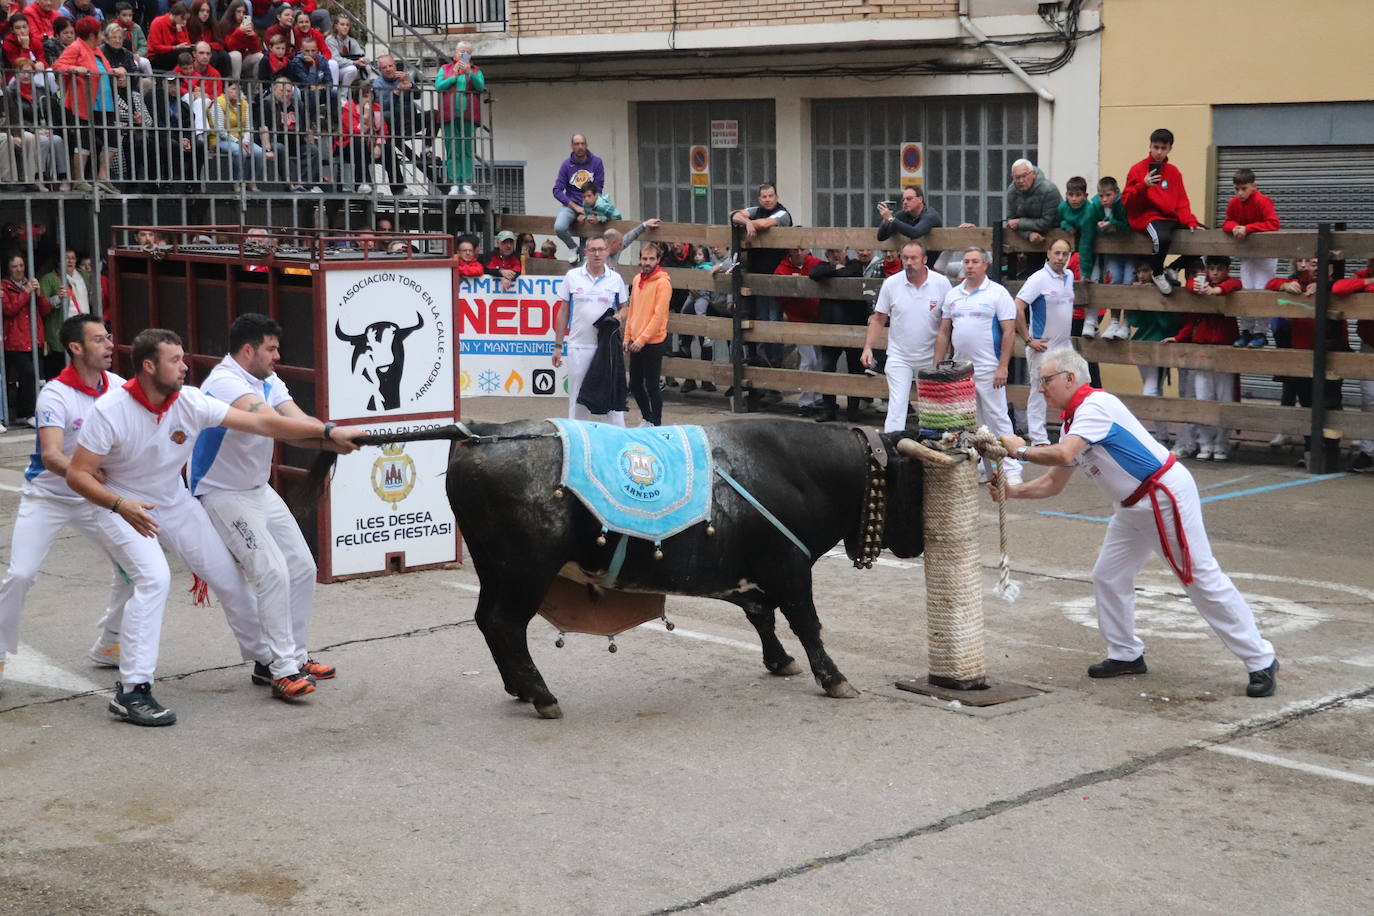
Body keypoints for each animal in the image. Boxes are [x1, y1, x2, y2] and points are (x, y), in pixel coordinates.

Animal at [300, 420, 923, 719]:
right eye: (914, 484)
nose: (917, 544)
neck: (796, 468)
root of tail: (480, 433)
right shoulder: (791, 566)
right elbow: (806, 622)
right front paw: (834, 679)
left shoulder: (754, 573)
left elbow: (761, 614)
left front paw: (780, 662)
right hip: (524, 570)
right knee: (505, 624)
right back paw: (542, 695)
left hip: (496, 567)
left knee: (488, 622)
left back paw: (520, 688)